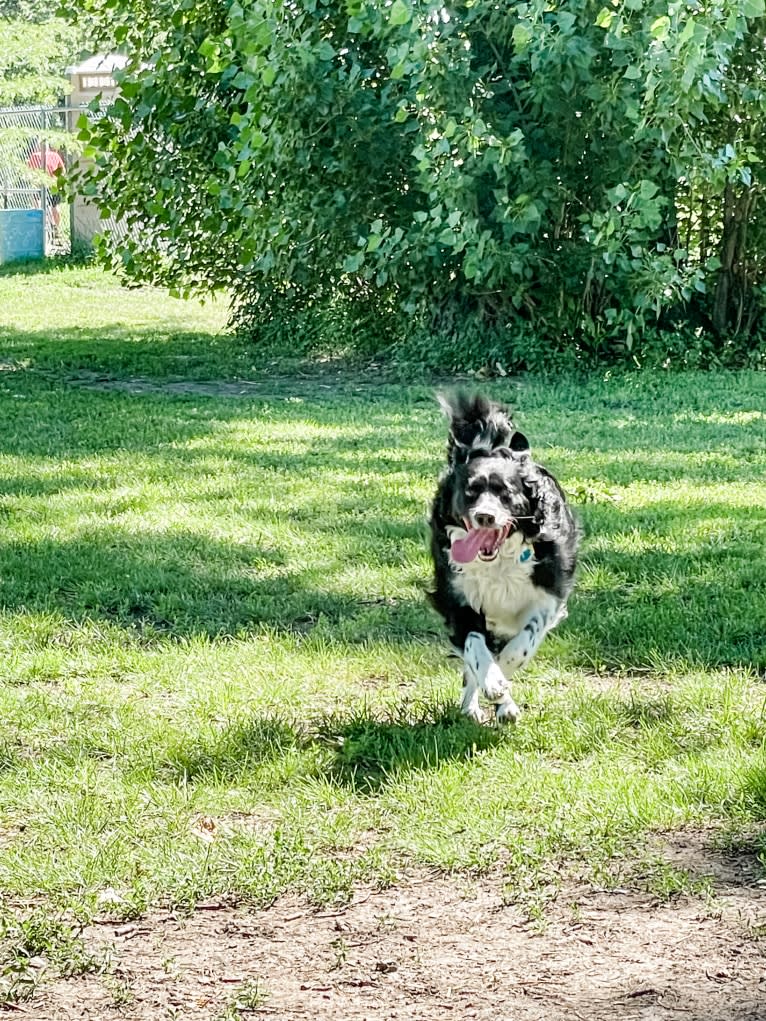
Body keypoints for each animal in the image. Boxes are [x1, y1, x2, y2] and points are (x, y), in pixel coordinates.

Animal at [428, 392, 580, 726]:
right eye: (469, 492)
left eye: (505, 492)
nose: (485, 516)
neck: (497, 563)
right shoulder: (459, 599)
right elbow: (475, 647)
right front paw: (492, 680)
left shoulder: (546, 598)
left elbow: (523, 643)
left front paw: (504, 672)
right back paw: (473, 706)